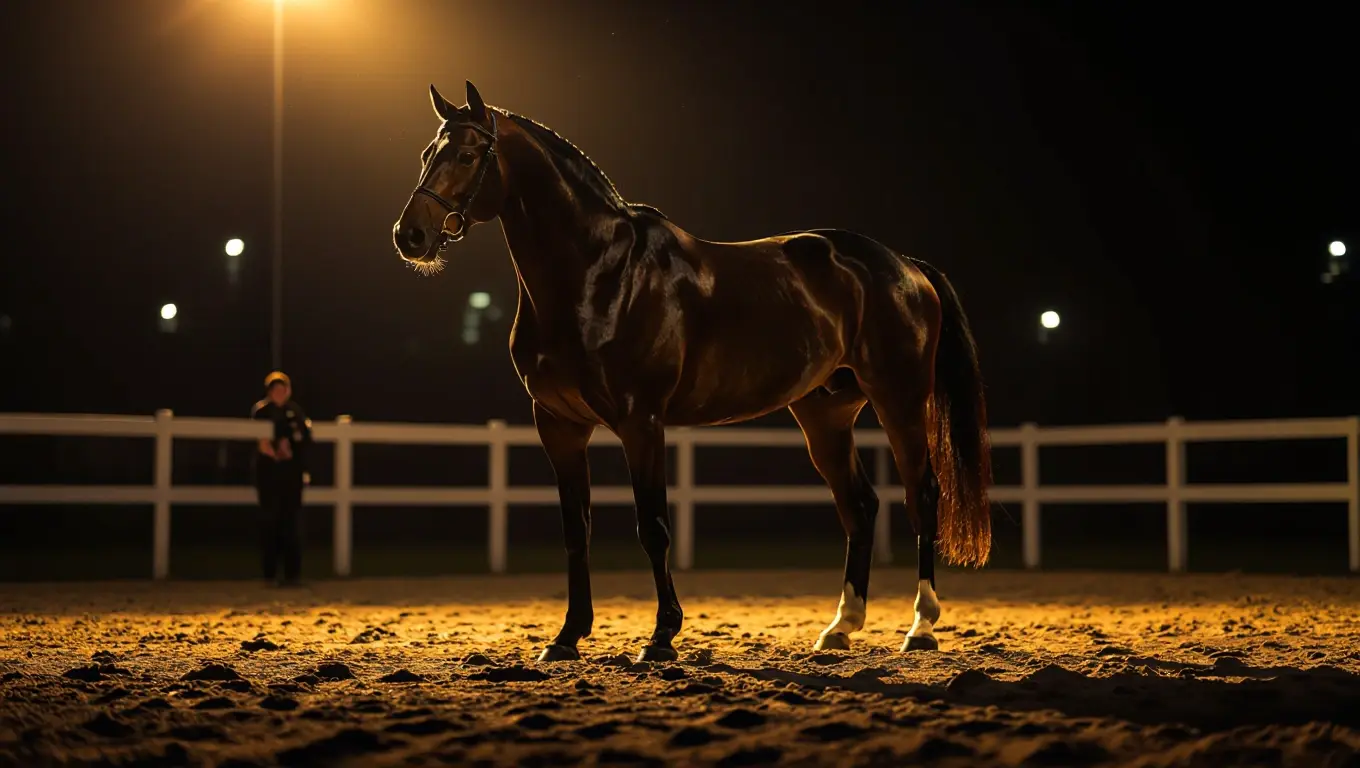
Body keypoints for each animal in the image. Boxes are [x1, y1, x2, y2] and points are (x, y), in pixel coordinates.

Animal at [392, 81, 993, 664]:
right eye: (426, 153)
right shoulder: (559, 425)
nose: (410, 236)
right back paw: (840, 628)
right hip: (825, 414)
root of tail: (905, 265)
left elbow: (653, 526)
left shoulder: (641, 422)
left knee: (923, 495)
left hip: (900, 400)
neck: (598, 275)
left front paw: (661, 636)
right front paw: (567, 636)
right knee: (860, 506)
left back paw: (921, 626)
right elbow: (575, 529)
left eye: (468, 154)